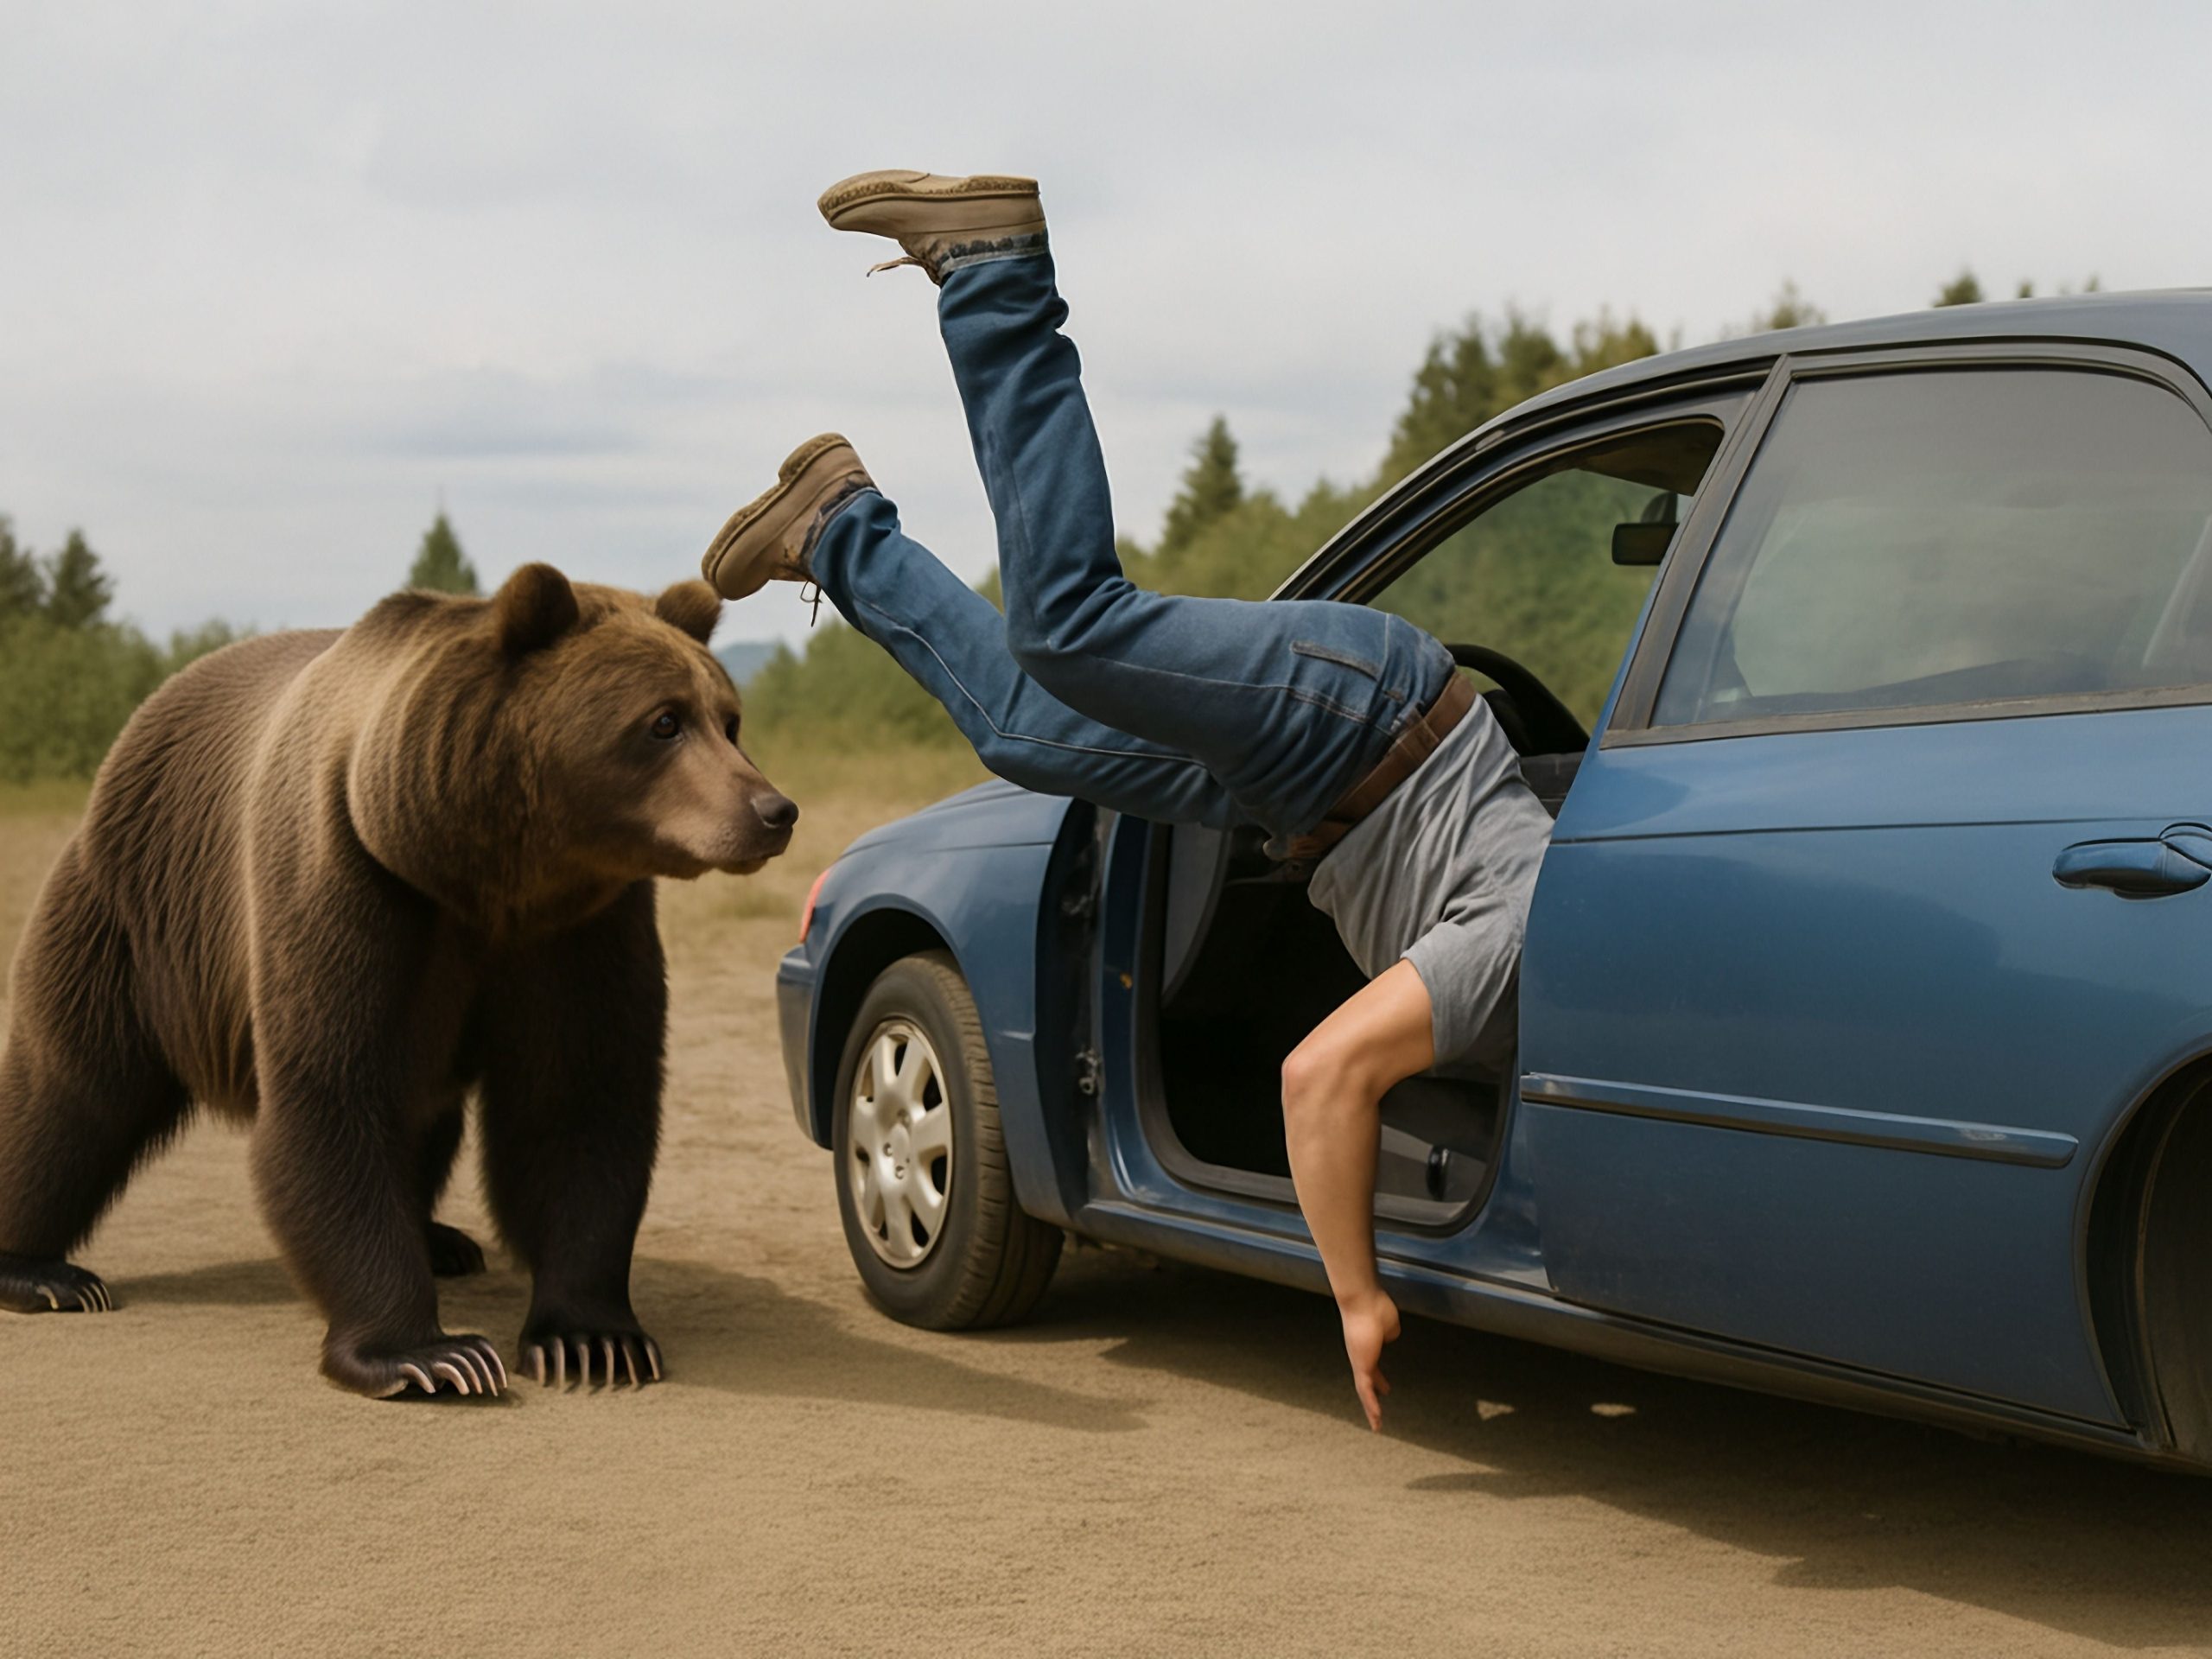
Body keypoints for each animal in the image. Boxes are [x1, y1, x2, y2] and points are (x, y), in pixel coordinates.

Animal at [0, 563, 794, 1397]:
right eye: (664, 722)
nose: (773, 810)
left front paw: (592, 1339)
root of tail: (142, 718)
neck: (479, 869)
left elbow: (578, 1099)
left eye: (728, 720)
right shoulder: (350, 878)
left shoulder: (579, 926)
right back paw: (44, 1273)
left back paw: (442, 1239)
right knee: (74, 1088)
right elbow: (331, 1095)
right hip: (131, 915)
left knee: (422, 1111)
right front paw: (432, 1355)